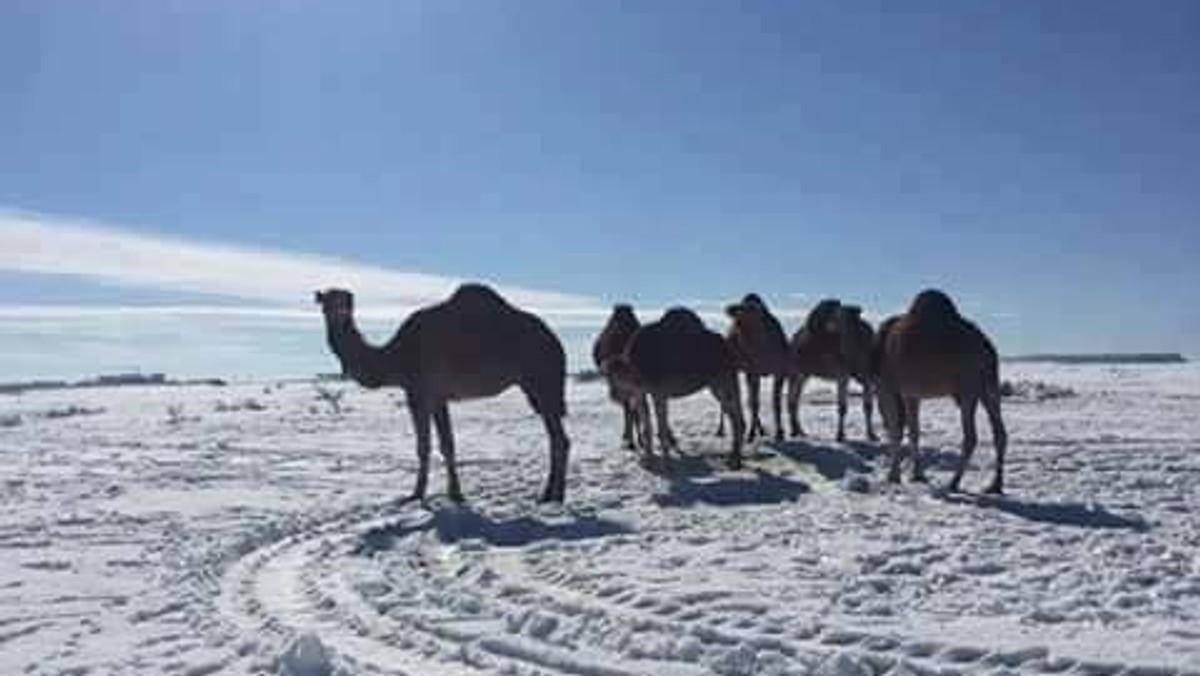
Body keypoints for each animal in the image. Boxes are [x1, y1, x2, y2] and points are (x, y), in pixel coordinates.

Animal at [319, 284, 571, 501]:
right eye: (326, 302)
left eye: (346, 301)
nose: (341, 312)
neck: (395, 356)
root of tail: (556, 342)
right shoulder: (438, 397)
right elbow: (447, 445)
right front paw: (454, 493)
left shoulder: (418, 393)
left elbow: (424, 447)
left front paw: (417, 494)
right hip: (535, 388)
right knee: (557, 438)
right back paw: (552, 494)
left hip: (542, 382)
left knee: (559, 438)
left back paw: (551, 495)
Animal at [592, 304, 648, 449]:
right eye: (608, 377)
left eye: (621, 376)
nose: (613, 395)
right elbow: (630, 410)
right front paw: (630, 439)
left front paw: (640, 439)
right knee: (629, 410)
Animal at [604, 307, 744, 470]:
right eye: (607, 378)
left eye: (618, 379)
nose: (613, 395)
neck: (638, 367)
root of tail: (728, 347)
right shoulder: (640, 394)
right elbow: (647, 427)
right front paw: (649, 460)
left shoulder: (659, 393)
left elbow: (661, 426)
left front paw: (667, 463)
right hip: (717, 383)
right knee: (734, 414)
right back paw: (734, 457)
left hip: (723, 380)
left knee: (736, 417)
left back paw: (735, 460)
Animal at [787, 301, 883, 444]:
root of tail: (793, 340)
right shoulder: (843, 375)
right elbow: (842, 407)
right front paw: (840, 435)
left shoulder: (867, 378)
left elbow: (868, 406)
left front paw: (872, 435)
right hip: (795, 372)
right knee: (792, 399)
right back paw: (794, 431)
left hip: (804, 374)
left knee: (796, 399)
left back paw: (800, 431)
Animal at [868, 289, 1008, 492]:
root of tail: (989, 349)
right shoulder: (912, 394)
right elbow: (914, 432)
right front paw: (917, 475)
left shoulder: (889, 387)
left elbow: (897, 431)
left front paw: (893, 476)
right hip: (989, 386)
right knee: (999, 433)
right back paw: (995, 485)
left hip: (968, 387)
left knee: (971, 437)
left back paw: (954, 482)